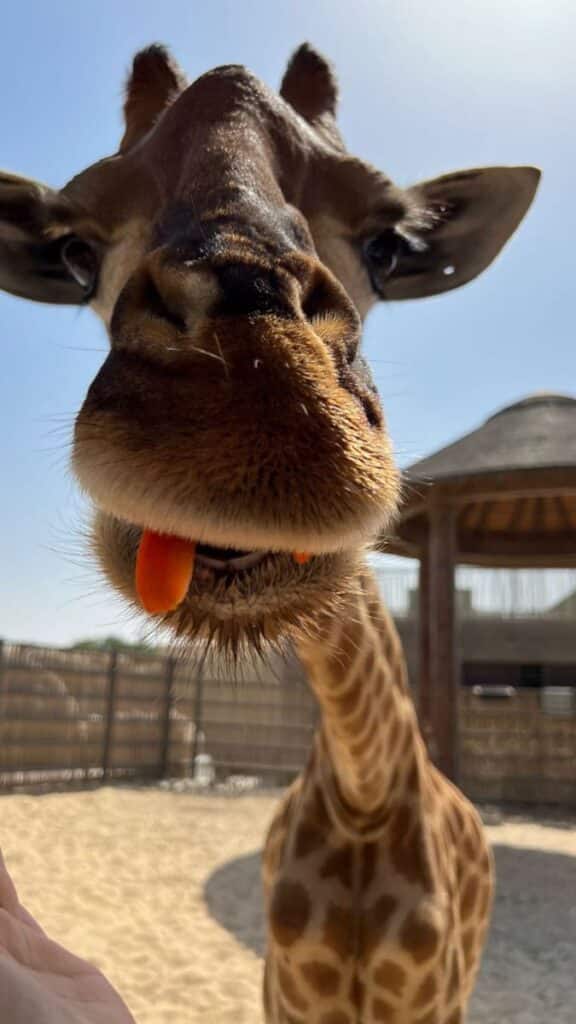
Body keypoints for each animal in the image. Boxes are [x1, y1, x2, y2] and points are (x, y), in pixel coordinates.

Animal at [1, 41, 537, 1024]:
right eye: (75, 250)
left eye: (389, 243)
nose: (260, 403)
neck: (365, 798)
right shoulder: (284, 987)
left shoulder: (435, 995)